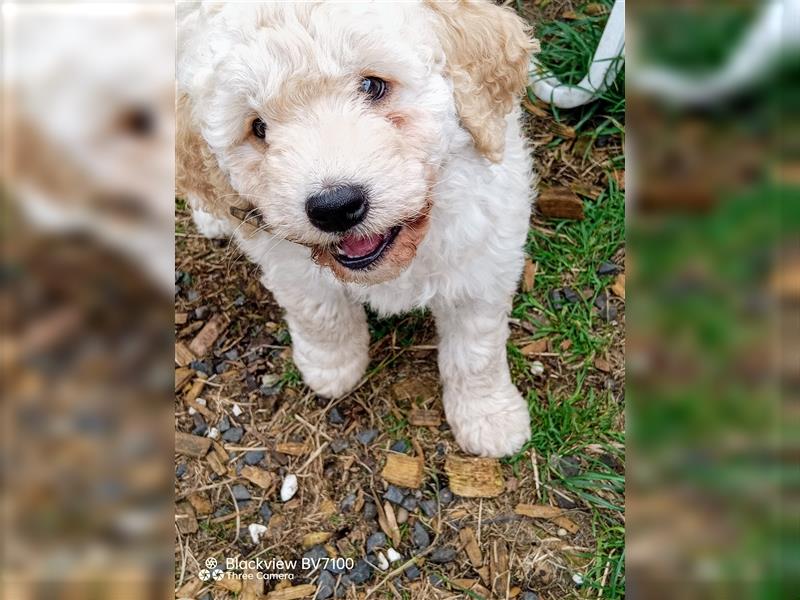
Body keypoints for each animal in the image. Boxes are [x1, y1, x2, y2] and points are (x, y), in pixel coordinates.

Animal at [176, 2, 536, 458]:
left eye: (373, 86)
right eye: (258, 127)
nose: (335, 208)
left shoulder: (483, 260)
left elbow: (476, 350)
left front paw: (490, 418)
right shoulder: (291, 265)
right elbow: (322, 315)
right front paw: (332, 368)